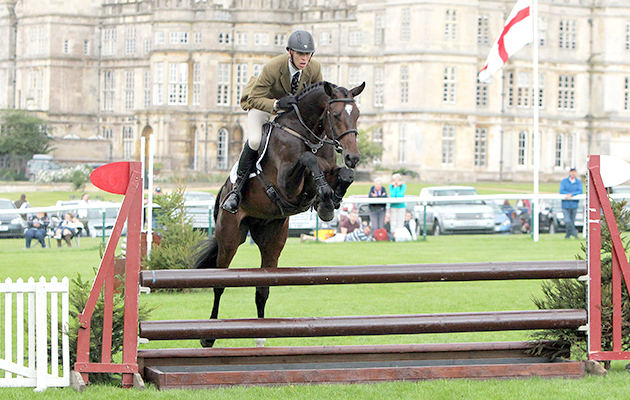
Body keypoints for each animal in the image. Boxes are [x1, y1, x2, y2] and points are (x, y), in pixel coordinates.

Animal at [195, 80, 368, 346]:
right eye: (336, 114)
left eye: (357, 114)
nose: (353, 157)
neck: (309, 134)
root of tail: (223, 192)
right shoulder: (286, 184)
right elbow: (308, 160)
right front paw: (326, 195)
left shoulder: (326, 172)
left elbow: (342, 175)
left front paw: (329, 203)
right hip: (229, 238)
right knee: (219, 284)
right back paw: (208, 336)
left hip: (272, 237)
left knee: (262, 288)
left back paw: (260, 338)